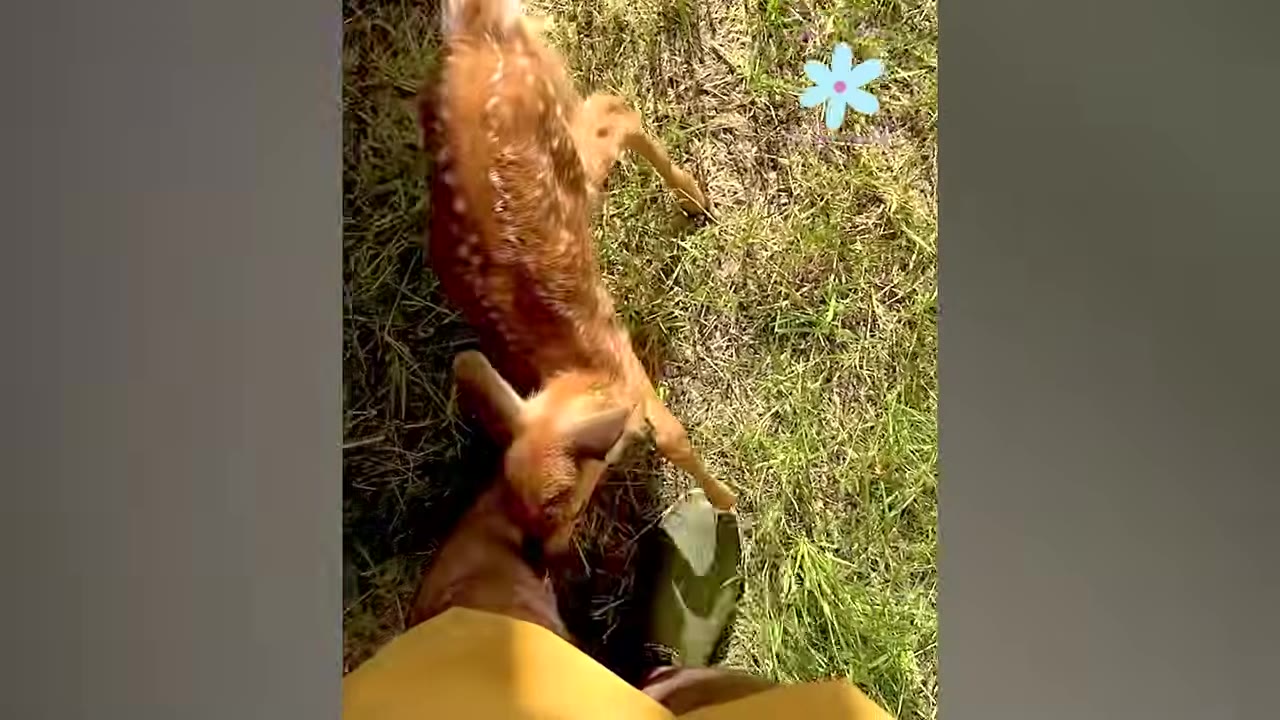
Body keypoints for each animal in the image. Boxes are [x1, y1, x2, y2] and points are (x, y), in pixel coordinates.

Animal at [418, 0, 738, 556]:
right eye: (512, 499)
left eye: (563, 503)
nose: (542, 553)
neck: (571, 368)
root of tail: (473, 32)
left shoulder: (620, 357)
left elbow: (672, 435)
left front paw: (728, 501)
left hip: (567, 151)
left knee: (614, 107)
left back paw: (694, 197)